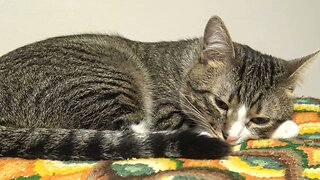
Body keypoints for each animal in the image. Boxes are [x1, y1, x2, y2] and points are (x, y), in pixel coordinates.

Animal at [0, 16, 318, 160]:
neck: (184, 66)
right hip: (102, 82)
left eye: (260, 117)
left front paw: (281, 126)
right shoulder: (166, 111)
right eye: (220, 103)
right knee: (129, 133)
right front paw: (284, 128)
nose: (229, 136)